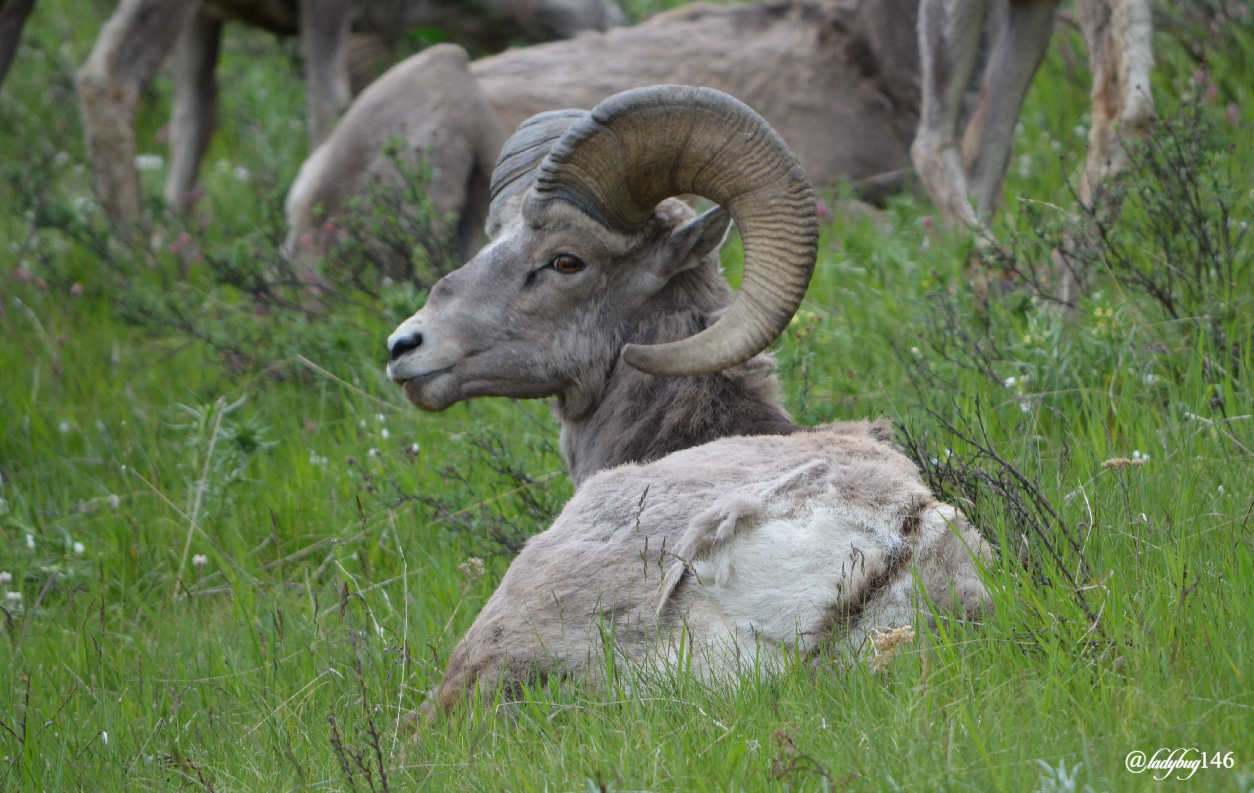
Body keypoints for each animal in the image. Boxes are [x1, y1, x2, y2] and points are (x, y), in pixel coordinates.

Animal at [73, 0, 621, 223]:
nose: (609, 19)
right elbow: (327, 107)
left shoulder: (207, 20)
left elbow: (194, 121)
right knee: (109, 77)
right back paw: (135, 255)